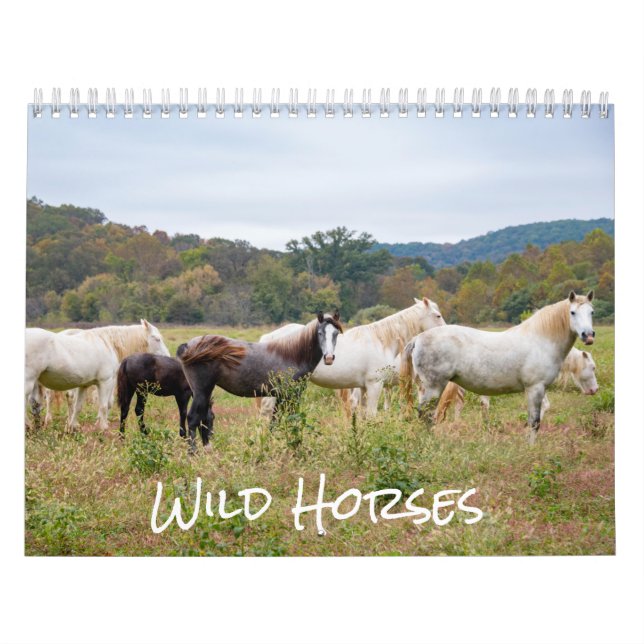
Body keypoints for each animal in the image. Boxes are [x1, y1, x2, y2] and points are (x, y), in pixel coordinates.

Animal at [25, 320, 170, 431]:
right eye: (157, 339)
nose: (167, 357)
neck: (109, 344)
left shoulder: (84, 385)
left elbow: (78, 406)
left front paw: (72, 427)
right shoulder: (106, 381)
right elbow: (105, 405)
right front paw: (103, 427)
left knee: (36, 403)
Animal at [178, 311, 343, 451]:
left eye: (335, 334)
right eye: (320, 333)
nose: (329, 358)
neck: (292, 355)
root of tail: (188, 346)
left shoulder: (281, 397)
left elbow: (276, 422)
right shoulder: (289, 396)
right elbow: (287, 420)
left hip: (204, 392)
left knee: (204, 419)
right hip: (201, 392)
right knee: (193, 419)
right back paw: (193, 453)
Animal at [257, 298, 445, 417]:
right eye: (438, 315)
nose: (445, 332)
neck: (381, 340)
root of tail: (267, 338)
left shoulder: (363, 388)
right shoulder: (375, 385)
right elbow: (371, 415)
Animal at [401, 291, 596, 444]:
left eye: (591, 312)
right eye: (572, 312)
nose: (588, 335)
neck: (541, 340)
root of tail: (418, 338)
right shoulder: (536, 388)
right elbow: (534, 422)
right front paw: (530, 449)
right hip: (433, 388)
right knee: (426, 416)